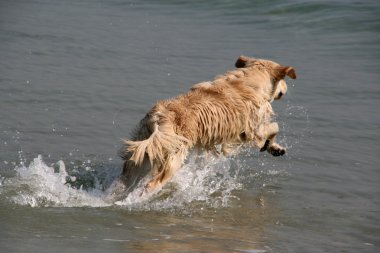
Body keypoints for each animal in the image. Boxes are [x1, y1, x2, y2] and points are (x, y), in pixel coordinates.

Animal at [108, 55, 296, 200]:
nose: (286, 88)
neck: (249, 81)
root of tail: (159, 118)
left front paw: (274, 148)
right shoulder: (250, 130)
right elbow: (274, 127)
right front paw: (270, 145)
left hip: (144, 153)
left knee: (124, 179)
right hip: (172, 158)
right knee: (151, 184)